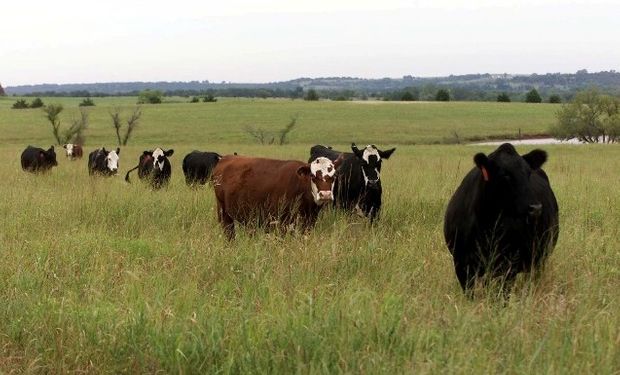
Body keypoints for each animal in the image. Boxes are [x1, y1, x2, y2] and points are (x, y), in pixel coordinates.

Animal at [213, 155, 344, 241]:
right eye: (313, 176)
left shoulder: (308, 222)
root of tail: (226, 158)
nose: (325, 194)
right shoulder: (282, 223)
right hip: (224, 214)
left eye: (334, 176)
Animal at [444, 142, 560, 298]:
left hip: (539, 258)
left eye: (528, 173)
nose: (535, 208)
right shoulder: (461, 264)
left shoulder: (508, 266)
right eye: (505, 174)